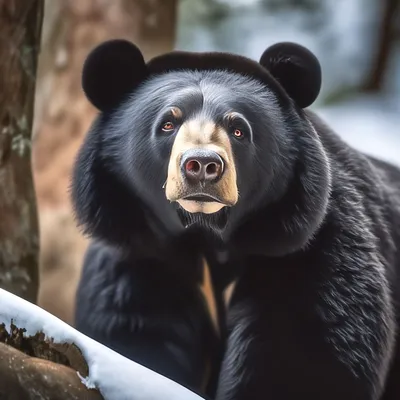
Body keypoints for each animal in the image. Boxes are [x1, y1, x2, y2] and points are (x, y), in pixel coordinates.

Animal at [72, 38, 400, 400]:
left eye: (238, 129)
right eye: (168, 124)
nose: (202, 165)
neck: (209, 238)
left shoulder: (308, 251)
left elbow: (302, 354)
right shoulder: (144, 255)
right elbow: (136, 327)